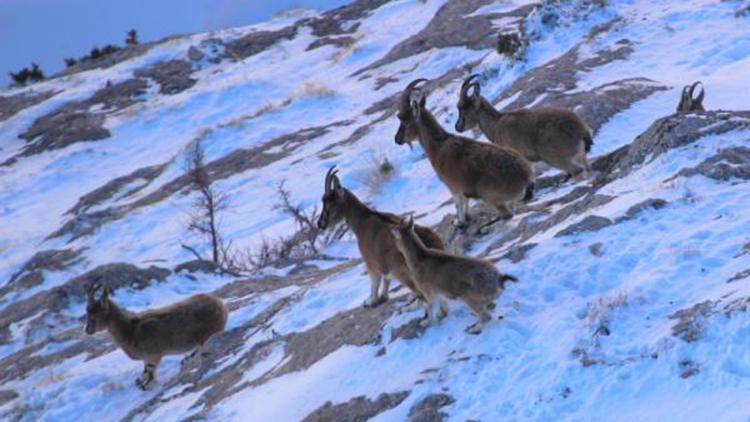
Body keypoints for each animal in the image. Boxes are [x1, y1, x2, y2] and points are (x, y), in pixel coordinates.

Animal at [84, 282, 226, 390]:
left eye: (93, 316)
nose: (87, 330)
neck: (131, 330)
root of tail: (220, 305)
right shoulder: (147, 359)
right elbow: (145, 373)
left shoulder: (154, 356)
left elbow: (149, 374)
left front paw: (145, 384)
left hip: (206, 334)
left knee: (200, 347)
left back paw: (187, 360)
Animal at [318, 166, 446, 308]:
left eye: (329, 203)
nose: (320, 224)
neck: (362, 222)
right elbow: (386, 280)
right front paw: (383, 297)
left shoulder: (371, 261)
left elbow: (375, 281)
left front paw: (371, 300)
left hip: (403, 274)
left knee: (422, 294)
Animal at [390, 216, 520, 334]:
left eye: (395, 239)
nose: (396, 247)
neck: (419, 259)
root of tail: (499, 279)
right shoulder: (438, 291)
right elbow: (442, 303)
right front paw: (441, 314)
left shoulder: (428, 292)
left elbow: (429, 306)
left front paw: (426, 322)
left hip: (469, 297)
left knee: (486, 316)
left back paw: (473, 329)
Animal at [396, 77, 536, 226]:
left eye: (405, 121)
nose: (397, 139)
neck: (439, 146)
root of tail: (527, 178)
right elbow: (466, 202)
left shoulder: (453, 186)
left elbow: (458, 203)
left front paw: (460, 222)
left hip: (489, 196)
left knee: (507, 214)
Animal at [456, 75, 596, 179]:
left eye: (463, 110)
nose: (457, 127)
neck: (496, 125)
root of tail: (581, 130)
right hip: (580, 157)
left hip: (555, 157)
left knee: (577, 170)